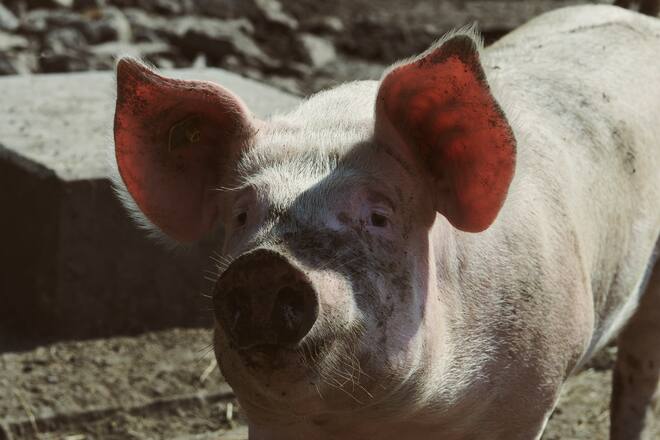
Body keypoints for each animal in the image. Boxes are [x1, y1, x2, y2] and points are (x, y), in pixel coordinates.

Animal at [112, 4, 660, 440]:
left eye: (378, 216)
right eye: (243, 214)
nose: (264, 266)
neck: (385, 422)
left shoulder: (530, 395)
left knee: (636, 376)